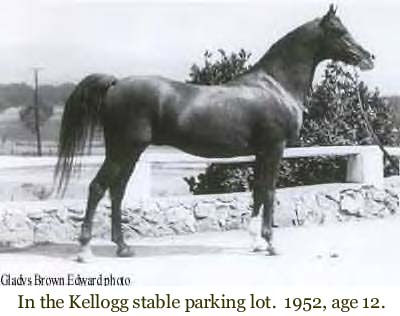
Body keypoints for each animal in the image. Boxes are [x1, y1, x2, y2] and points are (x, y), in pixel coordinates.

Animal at [54, 5, 374, 262]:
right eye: (339, 31)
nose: (369, 57)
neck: (275, 85)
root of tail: (116, 84)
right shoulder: (274, 148)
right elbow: (270, 192)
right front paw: (270, 244)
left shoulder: (261, 152)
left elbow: (258, 190)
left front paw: (256, 242)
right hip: (124, 149)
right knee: (98, 188)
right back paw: (85, 251)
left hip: (128, 151)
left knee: (117, 191)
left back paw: (123, 247)